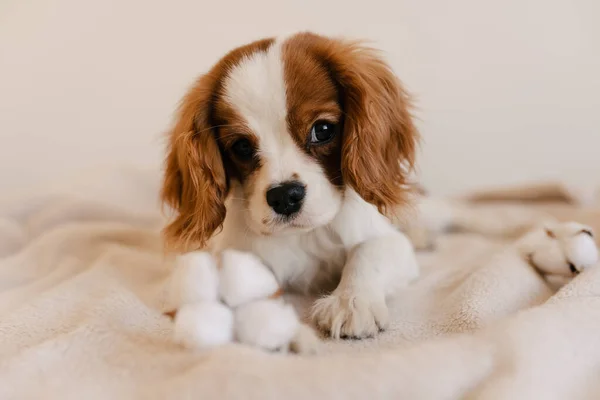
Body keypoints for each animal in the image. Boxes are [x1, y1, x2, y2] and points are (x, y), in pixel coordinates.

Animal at [162, 32, 420, 338]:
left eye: (323, 130)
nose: (284, 197)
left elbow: (369, 252)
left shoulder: (391, 242)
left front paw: (351, 302)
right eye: (242, 147)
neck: (303, 234)